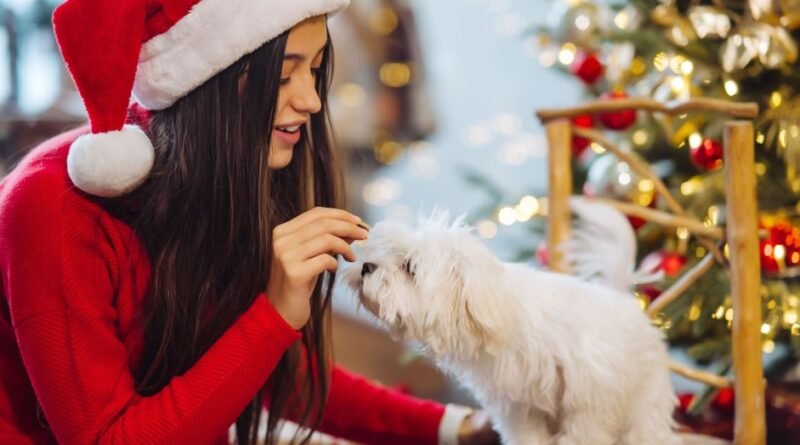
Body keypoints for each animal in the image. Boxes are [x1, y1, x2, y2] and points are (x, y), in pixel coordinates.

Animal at [340, 199, 684, 444]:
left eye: (409, 267)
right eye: (382, 251)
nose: (366, 266)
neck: (502, 317)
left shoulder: (589, 397)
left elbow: (584, 433)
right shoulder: (515, 404)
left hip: (645, 397)